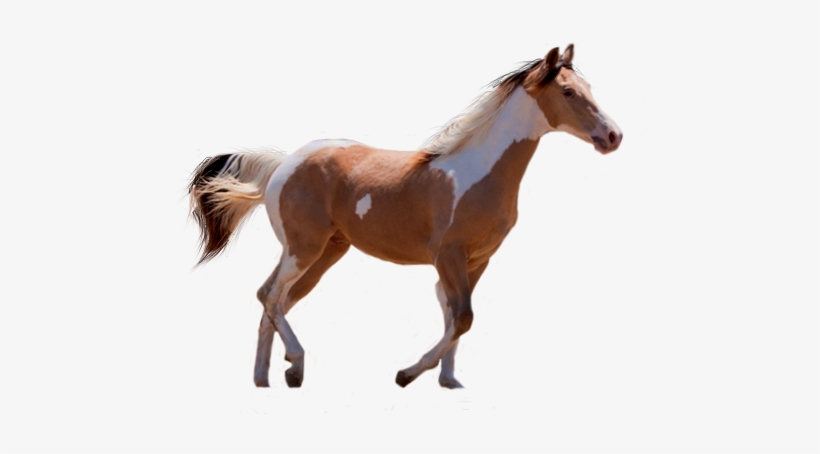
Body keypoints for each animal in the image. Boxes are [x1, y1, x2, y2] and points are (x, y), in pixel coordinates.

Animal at [188, 44, 622, 389]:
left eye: (588, 89)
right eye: (567, 91)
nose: (613, 136)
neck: (478, 172)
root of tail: (284, 163)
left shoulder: (478, 260)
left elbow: (456, 316)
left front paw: (450, 382)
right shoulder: (448, 255)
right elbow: (462, 316)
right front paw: (408, 374)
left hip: (326, 253)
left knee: (276, 302)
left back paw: (266, 379)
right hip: (303, 248)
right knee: (269, 295)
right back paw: (294, 365)